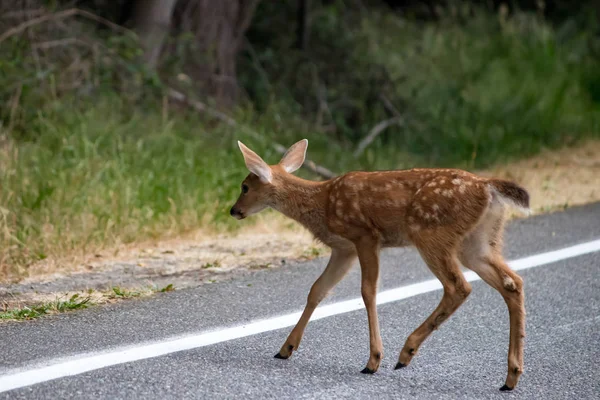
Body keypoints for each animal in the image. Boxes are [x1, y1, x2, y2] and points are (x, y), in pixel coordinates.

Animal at [232, 138, 528, 390]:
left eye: (245, 187)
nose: (234, 210)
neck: (322, 203)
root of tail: (487, 186)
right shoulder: (343, 249)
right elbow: (318, 290)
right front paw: (286, 348)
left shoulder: (365, 236)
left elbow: (368, 291)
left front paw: (373, 360)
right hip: (477, 242)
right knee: (512, 282)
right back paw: (511, 377)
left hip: (430, 234)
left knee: (459, 287)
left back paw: (406, 352)